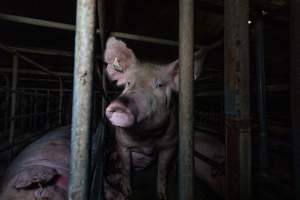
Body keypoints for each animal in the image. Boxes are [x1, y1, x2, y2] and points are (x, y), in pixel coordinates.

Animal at [104, 36, 214, 199]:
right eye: (128, 83)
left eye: (159, 85)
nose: (120, 104)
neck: (146, 139)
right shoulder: (121, 143)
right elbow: (126, 168)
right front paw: (127, 192)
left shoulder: (170, 145)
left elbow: (162, 171)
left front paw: (162, 196)